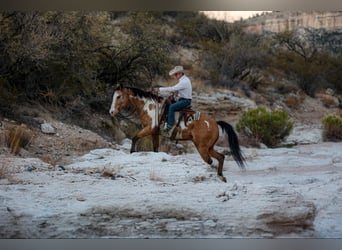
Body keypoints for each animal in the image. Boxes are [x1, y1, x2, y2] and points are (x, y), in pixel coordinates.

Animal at [108, 84, 244, 182]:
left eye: (119, 96)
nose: (111, 112)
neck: (150, 107)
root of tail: (215, 123)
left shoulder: (149, 129)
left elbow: (135, 137)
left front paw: (132, 151)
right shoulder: (155, 133)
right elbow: (155, 148)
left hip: (202, 147)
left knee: (210, 160)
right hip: (209, 147)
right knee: (220, 157)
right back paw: (221, 176)